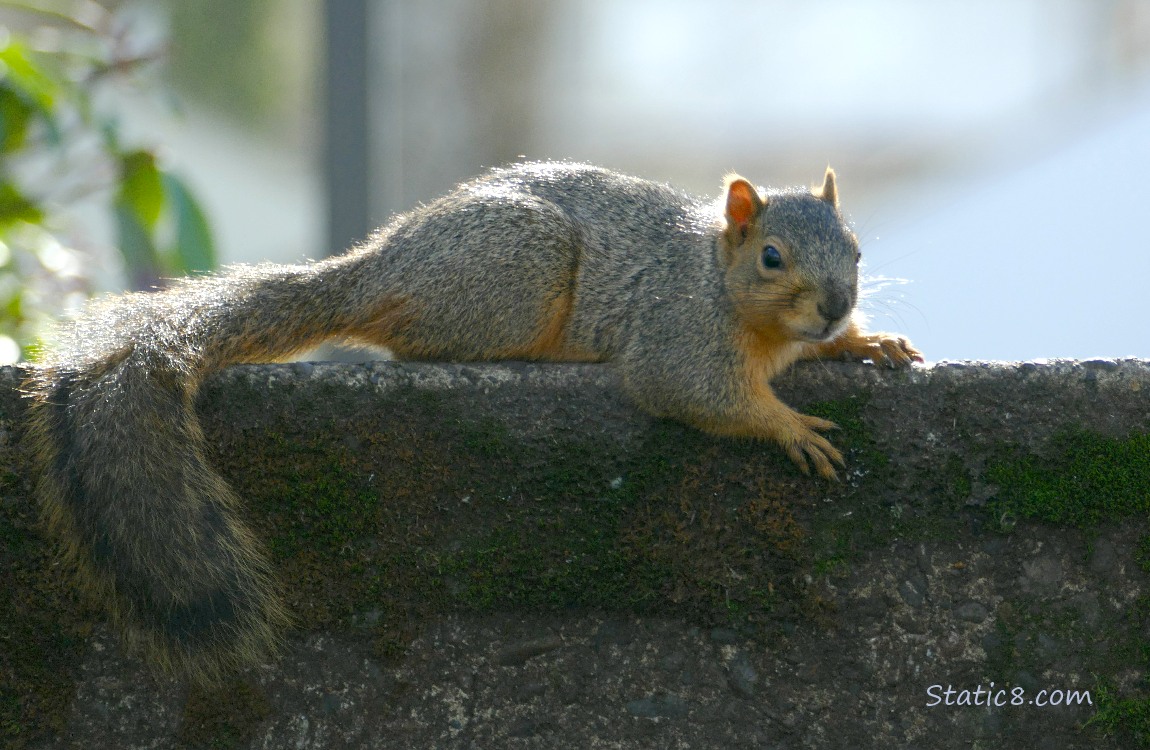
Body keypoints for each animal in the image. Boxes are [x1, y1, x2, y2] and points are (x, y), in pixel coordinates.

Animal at [24, 161, 921, 682]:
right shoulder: (679, 334)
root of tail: (380, 264)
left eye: (856, 250)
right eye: (772, 258)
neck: (722, 284)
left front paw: (867, 342)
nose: (835, 304)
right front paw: (790, 426)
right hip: (515, 274)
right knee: (407, 342)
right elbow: (696, 393)